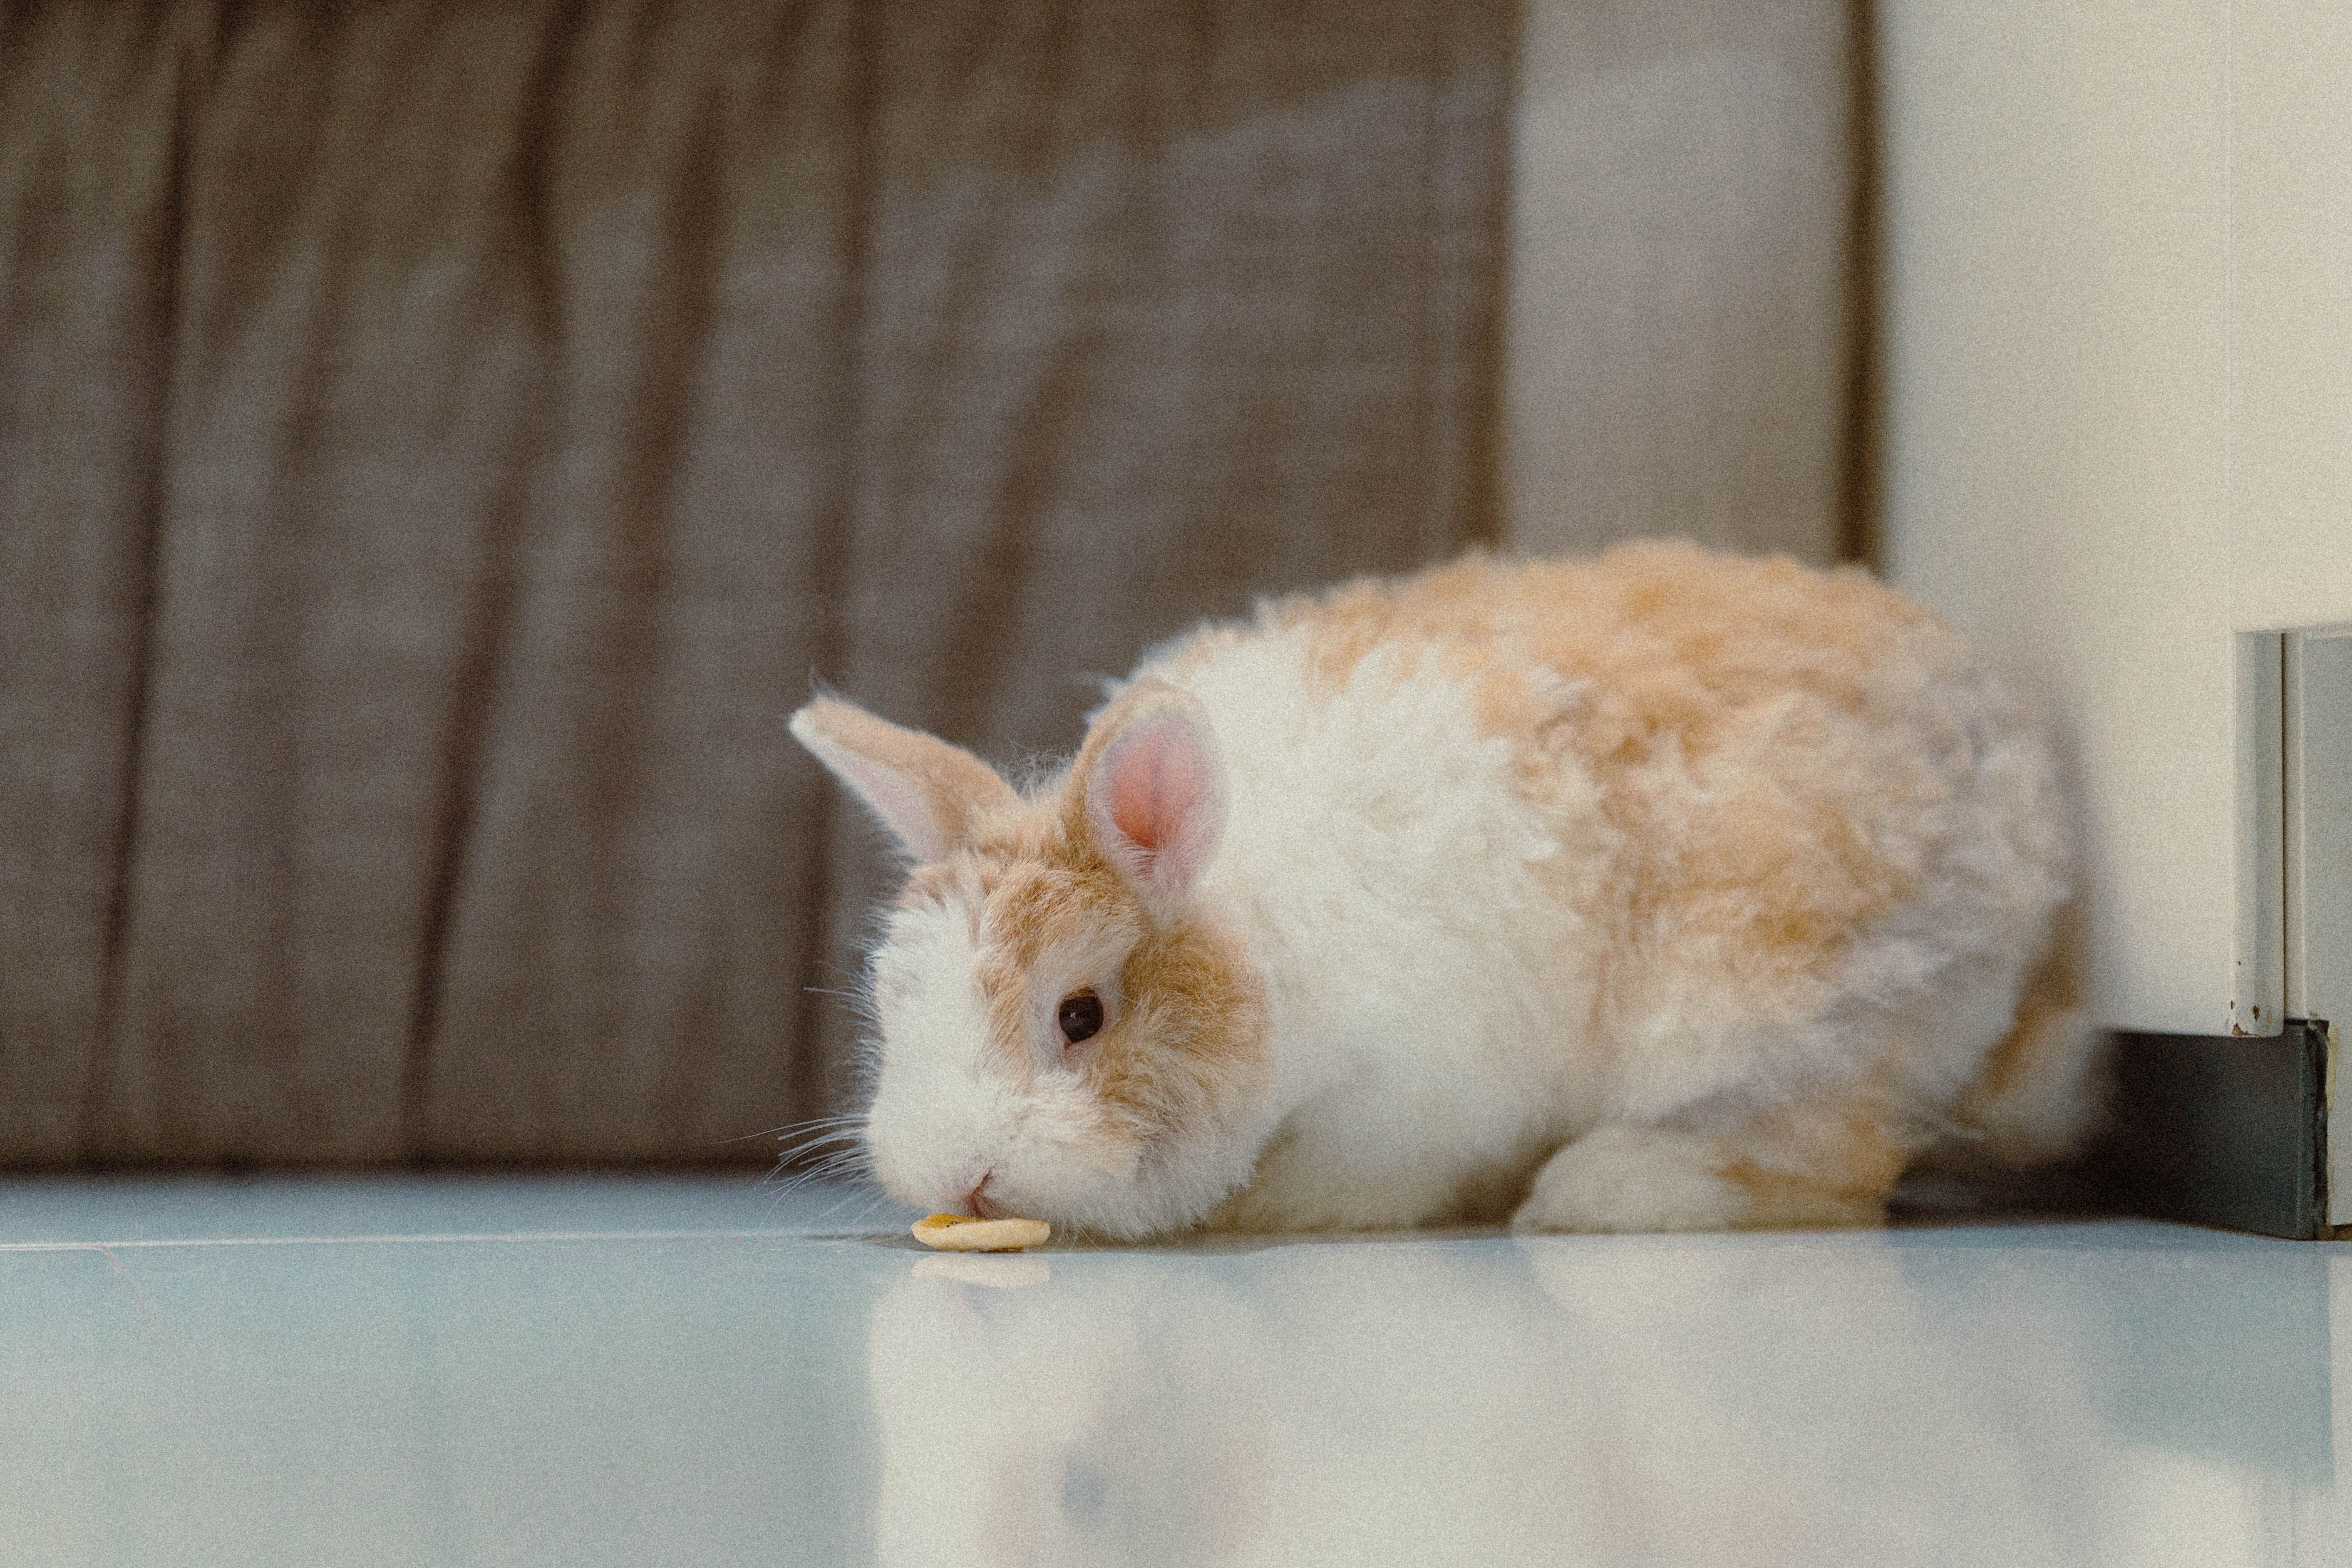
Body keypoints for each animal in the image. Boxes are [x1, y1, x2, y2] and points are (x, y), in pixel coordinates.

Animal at [789, 540, 2102, 1239]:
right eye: (893, 1007)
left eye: (1080, 1015)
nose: (956, 1174)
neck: (1263, 944)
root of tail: (2029, 808)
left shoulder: (1419, 1093)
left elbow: (1372, 1172)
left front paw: (1273, 1211)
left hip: (1788, 1009)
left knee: (1833, 1153)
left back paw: (1599, 1192)